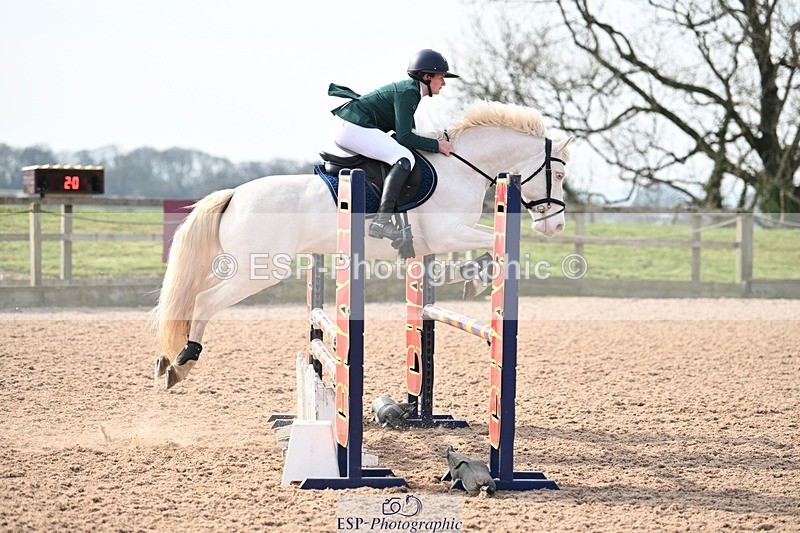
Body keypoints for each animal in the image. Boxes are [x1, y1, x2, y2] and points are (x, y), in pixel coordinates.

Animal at [151, 100, 573, 389]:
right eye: (559, 174)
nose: (556, 225)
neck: (462, 167)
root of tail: (234, 194)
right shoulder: (447, 232)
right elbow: (494, 243)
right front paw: (476, 276)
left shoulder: (437, 240)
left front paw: (467, 276)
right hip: (261, 270)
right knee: (204, 301)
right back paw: (182, 363)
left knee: (193, 300)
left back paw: (169, 361)